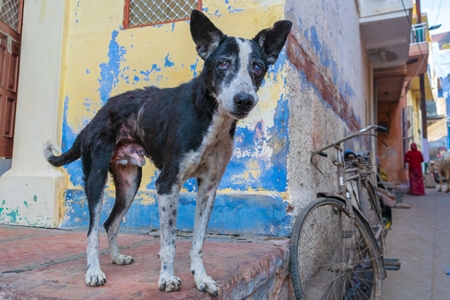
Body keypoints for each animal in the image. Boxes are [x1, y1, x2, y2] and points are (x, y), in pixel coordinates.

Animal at [44, 9, 292, 298]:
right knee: (92, 229)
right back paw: (94, 272)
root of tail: (98, 114)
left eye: (258, 67)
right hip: (96, 177)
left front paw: (202, 279)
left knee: (110, 223)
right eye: (223, 63)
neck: (209, 116)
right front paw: (167, 279)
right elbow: (170, 242)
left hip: (130, 182)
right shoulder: (167, 184)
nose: (244, 100)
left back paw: (116, 257)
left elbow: (198, 242)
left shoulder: (209, 187)